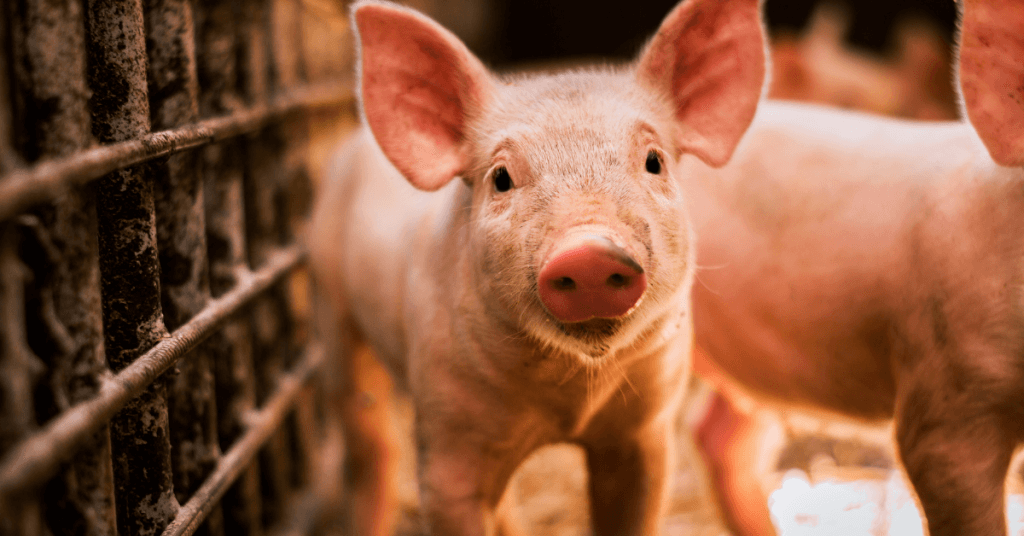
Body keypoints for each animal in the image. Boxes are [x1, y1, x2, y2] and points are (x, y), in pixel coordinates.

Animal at [307, 1, 767, 535]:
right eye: (501, 177)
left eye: (654, 161)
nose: (589, 251)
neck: (568, 405)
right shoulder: (445, 444)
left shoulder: (647, 432)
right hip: (330, 306)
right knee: (368, 438)